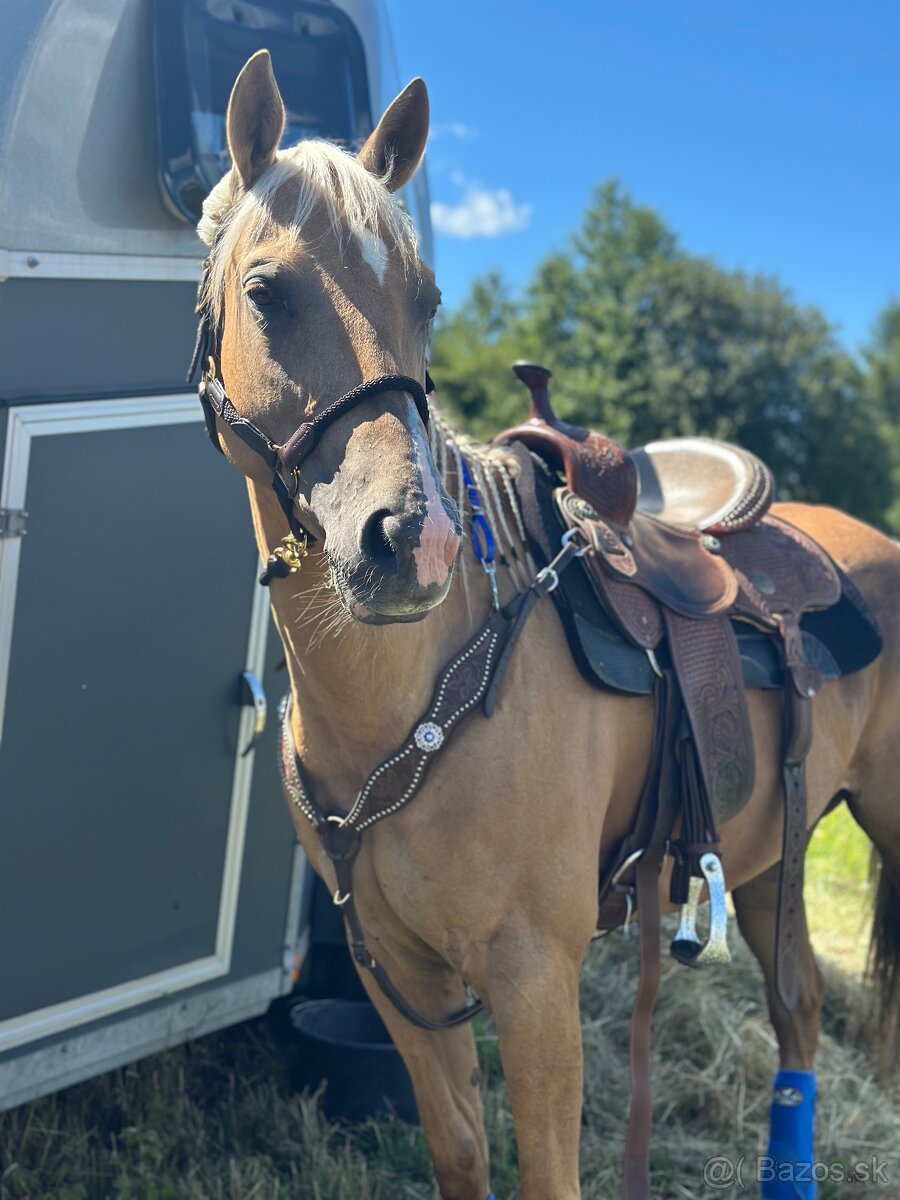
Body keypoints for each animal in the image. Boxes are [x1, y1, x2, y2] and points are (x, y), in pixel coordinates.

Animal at [191, 49, 900, 1200]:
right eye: (267, 291)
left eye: (427, 299)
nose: (414, 542)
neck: (416, 697)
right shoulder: (403, 982)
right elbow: (459, 1155)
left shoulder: (534, 984)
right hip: (770, 854)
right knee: (798, 1008)